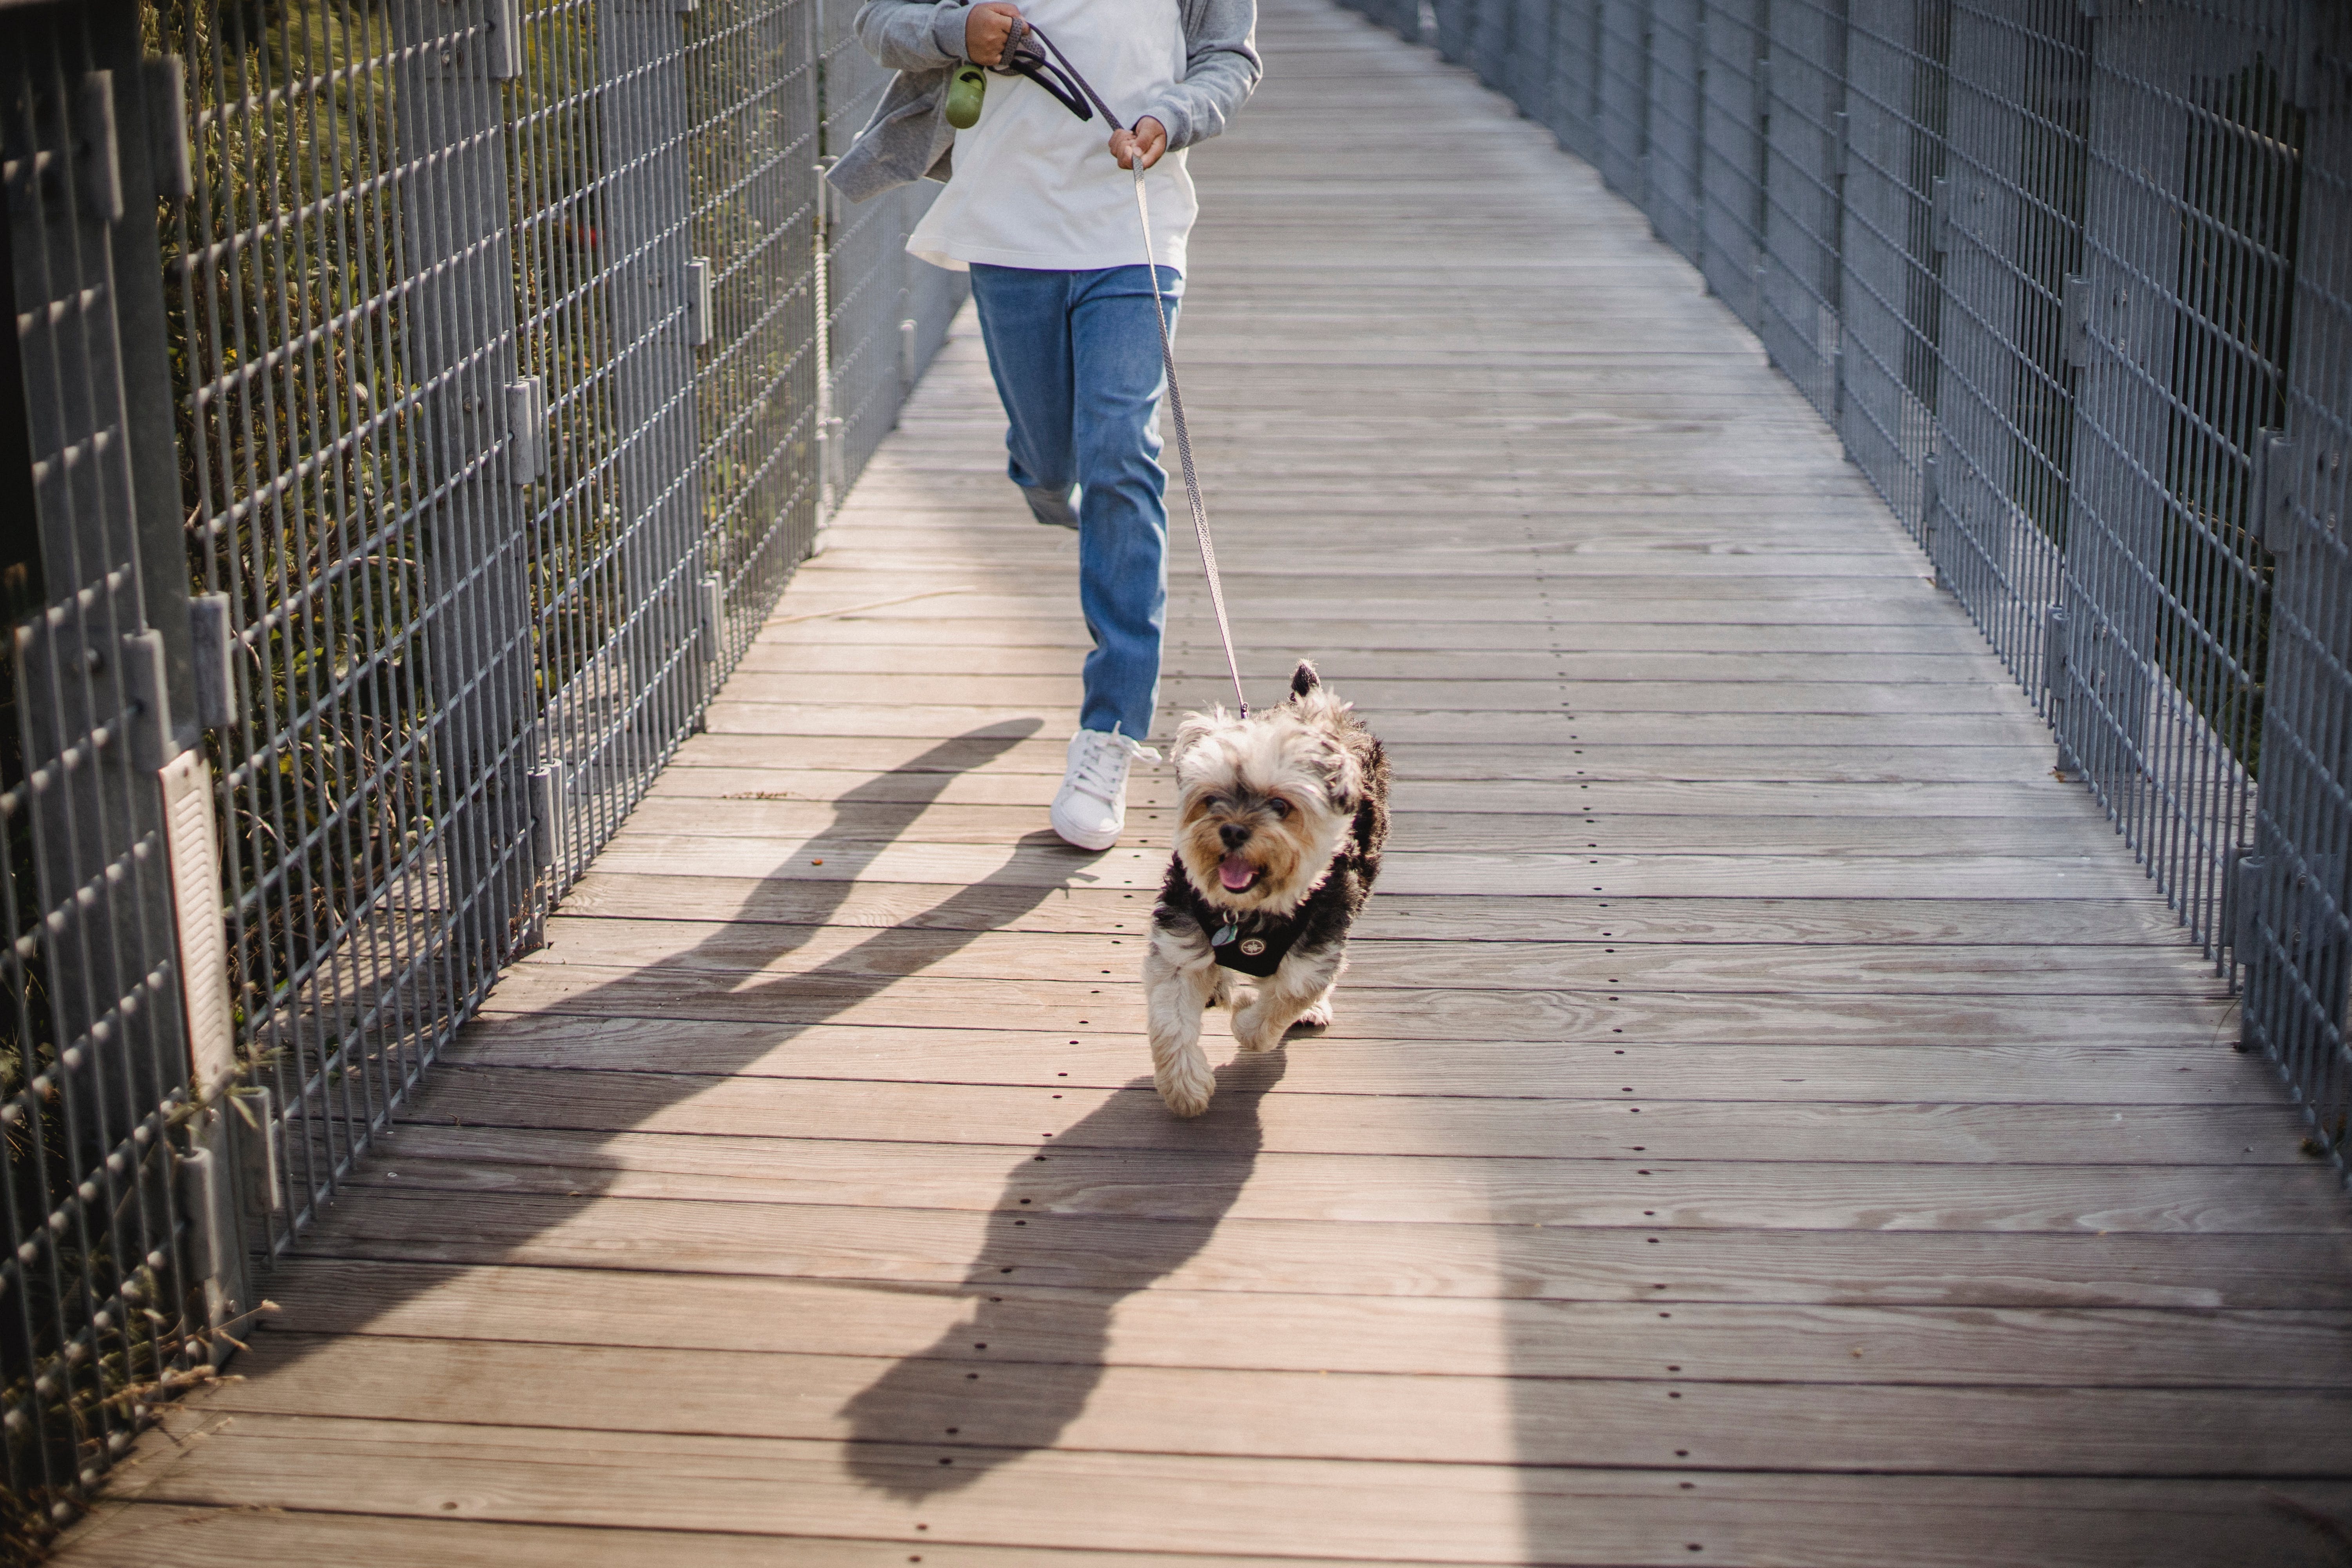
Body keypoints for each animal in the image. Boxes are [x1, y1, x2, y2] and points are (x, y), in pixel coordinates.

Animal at [1148, 658, 1383, 1114]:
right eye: (1210, 800)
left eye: (1280, 805)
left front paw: (1246, 1014)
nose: (1233, 830)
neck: (1246, 913)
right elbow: (1172, 1022)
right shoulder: (1180, 943)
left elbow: (1279, 1006)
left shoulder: (1313, 950)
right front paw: (1186, 1088)